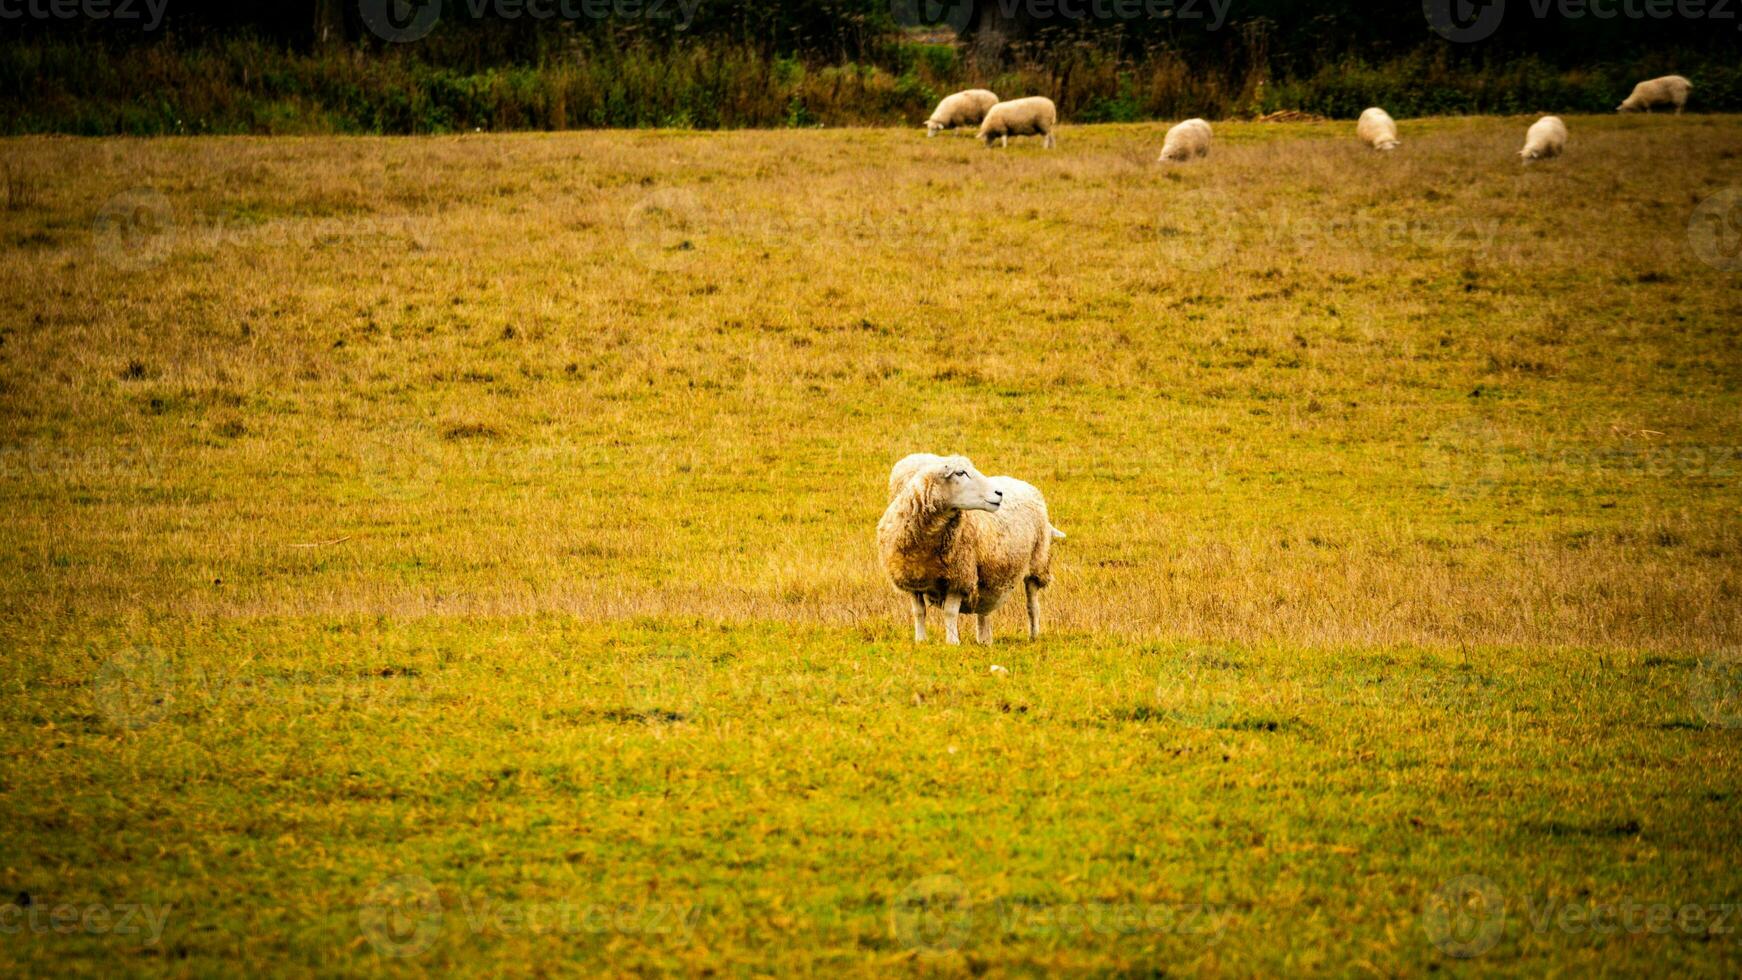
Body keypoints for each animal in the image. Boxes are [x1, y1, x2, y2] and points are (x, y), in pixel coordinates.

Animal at [884, 456, 1059, 647]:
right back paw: (984, 640)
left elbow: (950, 612)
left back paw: (1033, 635)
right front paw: (920, 640)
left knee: (1032, 605)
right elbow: (919, 611)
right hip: (989, 575)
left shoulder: (959, 577)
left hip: (1037, 563)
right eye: (960, 473)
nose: (999, 493)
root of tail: (1024, 484)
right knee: (984, 609)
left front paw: (952, 642)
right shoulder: (912, 579)